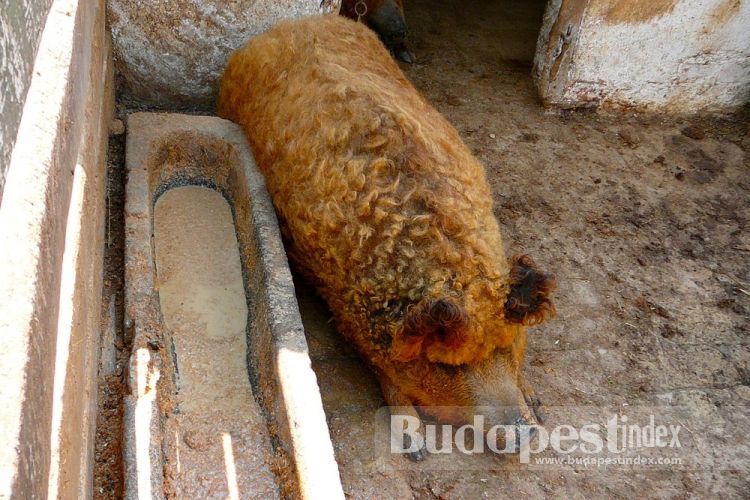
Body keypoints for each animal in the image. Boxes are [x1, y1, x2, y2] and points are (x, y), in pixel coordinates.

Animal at [217, 14, 560, 460]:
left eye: (507, 344)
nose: (524, 435)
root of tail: (291, 24)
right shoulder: (346, 312)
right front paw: (416, 448)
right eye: (447, 366)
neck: (445, 265)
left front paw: (539, 404)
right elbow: (386, 372)